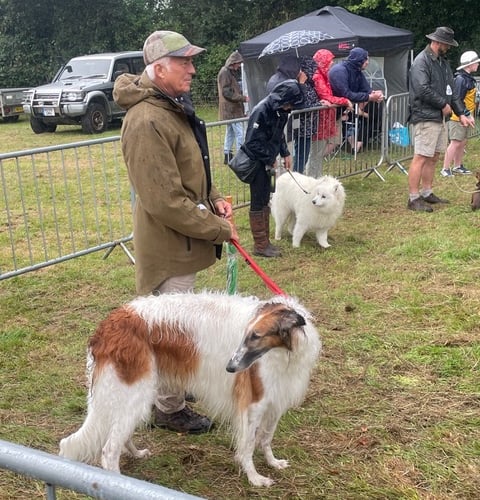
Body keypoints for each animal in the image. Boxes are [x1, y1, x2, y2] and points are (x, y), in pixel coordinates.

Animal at [61, 292, 322, 486]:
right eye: (246, 335)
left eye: (256, 336)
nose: (230, 368)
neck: (286, 353)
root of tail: (107, 325)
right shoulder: (254, 404)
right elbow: (248, 446)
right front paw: (255, 478)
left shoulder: (276, 401)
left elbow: (266, 439)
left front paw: (273, 463)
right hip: (132, 394)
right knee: (109, 451)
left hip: (135, 397)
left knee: (120, 439)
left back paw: (136, 453)